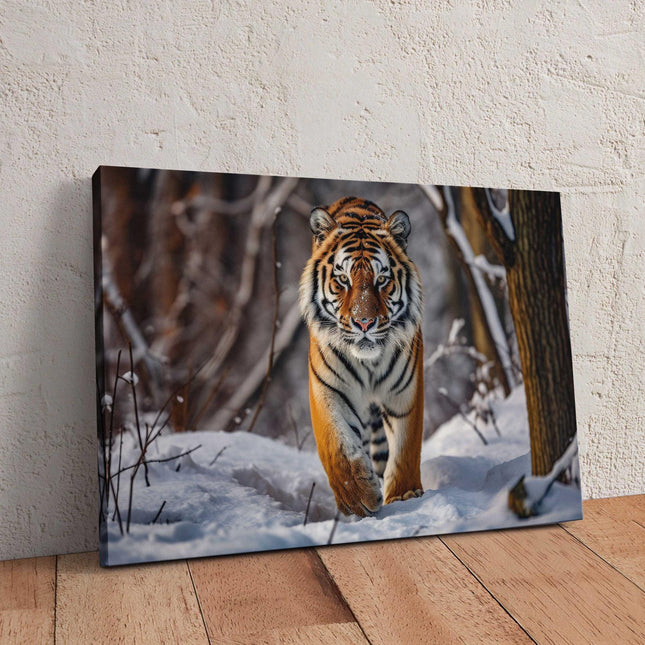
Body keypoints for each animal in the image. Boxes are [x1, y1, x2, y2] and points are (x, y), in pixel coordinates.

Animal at [299, 196, 425, 517]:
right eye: (343, 279)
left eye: (381, 280)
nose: (364, 322)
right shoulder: (329, 389)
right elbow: (337, 448)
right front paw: (357, 497)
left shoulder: (404, 393)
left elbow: (406, 447)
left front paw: (405, 495)